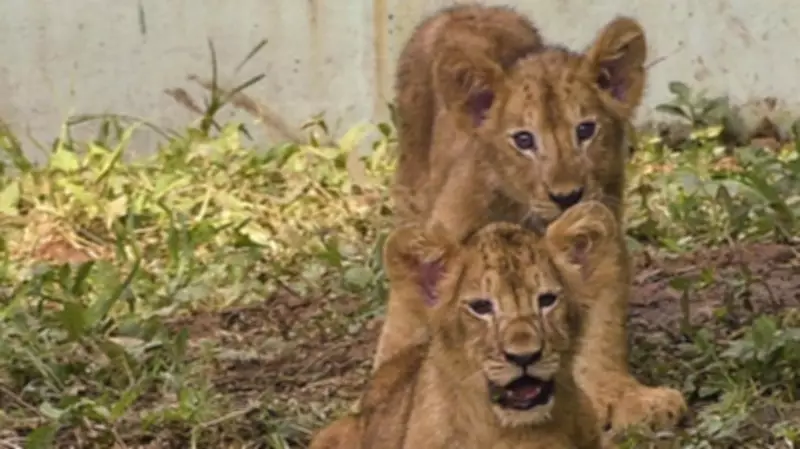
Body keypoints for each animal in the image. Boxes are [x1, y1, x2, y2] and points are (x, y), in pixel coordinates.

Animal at [379, 4, 688, 436]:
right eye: (524, 140)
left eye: (585, 130)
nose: (567, 196)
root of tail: (466, 8)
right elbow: (410, 323)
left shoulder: (600, 239)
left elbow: (603, 329)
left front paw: (624, 396)